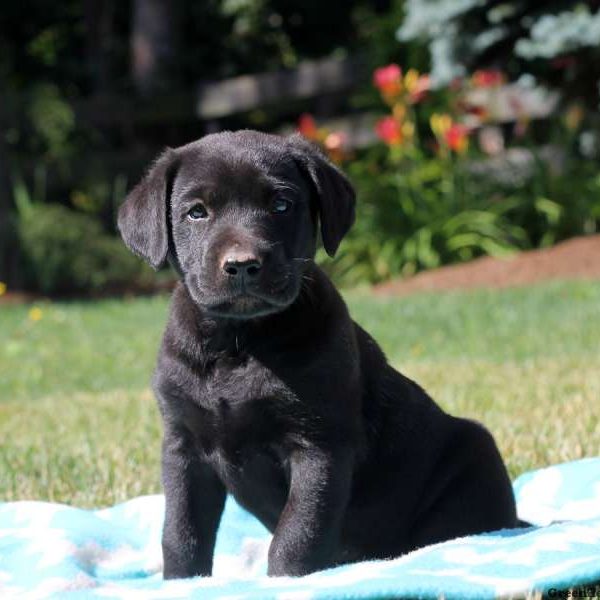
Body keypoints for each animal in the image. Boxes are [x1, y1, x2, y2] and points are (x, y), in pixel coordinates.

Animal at [118, 130, 520, 576]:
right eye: (196, 212)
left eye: (281, 204)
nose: (242, 265)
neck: (240, 342)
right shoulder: (183, 447)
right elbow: (181, 530)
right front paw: (182, 581)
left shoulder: (319, 444)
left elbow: (298, 532)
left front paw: (285, 580)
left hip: (475, 453)